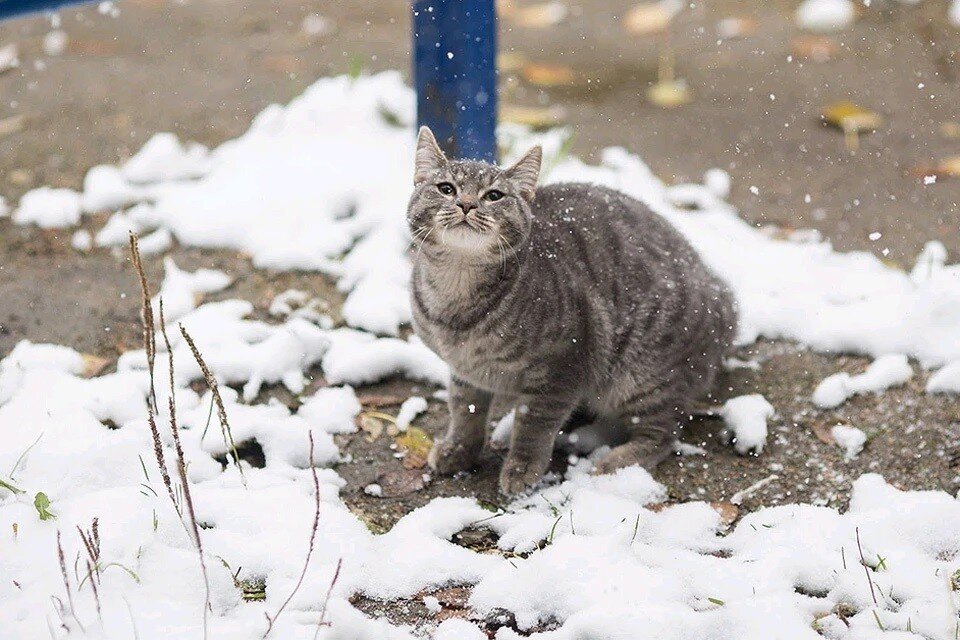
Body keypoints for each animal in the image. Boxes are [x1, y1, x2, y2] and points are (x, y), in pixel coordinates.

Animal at [404, 126, 736, 496]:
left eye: (494, 195)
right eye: (446, 188)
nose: (466, 204)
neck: (456, 295)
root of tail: (719, 295)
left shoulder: (562, 365)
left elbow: (534, 424)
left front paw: (522, 468)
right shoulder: (464, 372)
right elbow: (465, 411)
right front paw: (459, 450)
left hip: (643, 376)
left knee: (663, 431)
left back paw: (614, 461)